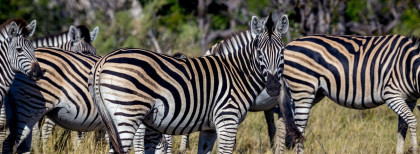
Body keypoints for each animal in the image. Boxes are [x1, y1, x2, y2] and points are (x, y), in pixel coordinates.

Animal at [90, 13, 304, 153]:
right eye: (259, 53)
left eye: (282, 52)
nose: (274, 87)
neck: (237, 73)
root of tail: (104, 59)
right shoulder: (227, 119)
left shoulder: (210, 127)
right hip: (127, 114)